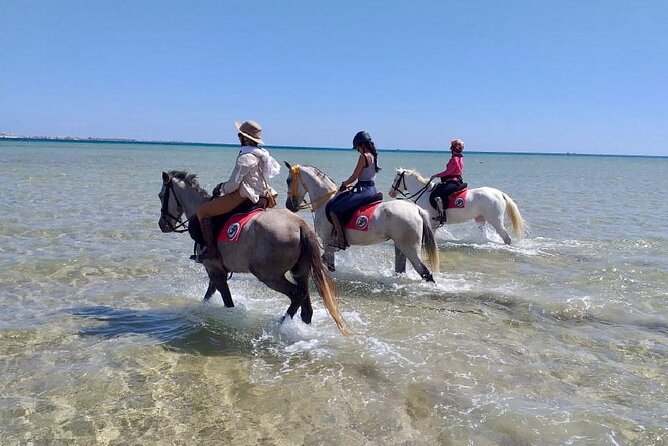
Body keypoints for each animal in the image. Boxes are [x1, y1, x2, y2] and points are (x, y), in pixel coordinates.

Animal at [157, 170, 348, 335]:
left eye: (161, 195)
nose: (162, 224)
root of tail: (300, 224)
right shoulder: (216, 272)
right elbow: (209, 295)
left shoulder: (214, 270)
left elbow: (227, 301)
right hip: (300, 272)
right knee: (305, 306)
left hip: (269, 276)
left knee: (296, 295)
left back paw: (281, 324)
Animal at [283, 163, 439, 282]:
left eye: (288, 180)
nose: (289, 205)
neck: (325, 202)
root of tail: (417, 210)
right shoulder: (330, 246)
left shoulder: (328, 244)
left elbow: (329, 265)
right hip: (400, 247)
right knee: (401, 269)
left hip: (410, 248)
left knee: (425, 273)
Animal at [388, 168, 527, 244]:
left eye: (395, 180)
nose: (391, 193)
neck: (424, 193)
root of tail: (500, 193)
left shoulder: (431, 222)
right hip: (480, 219)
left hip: (496, 221)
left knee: (506, 238)